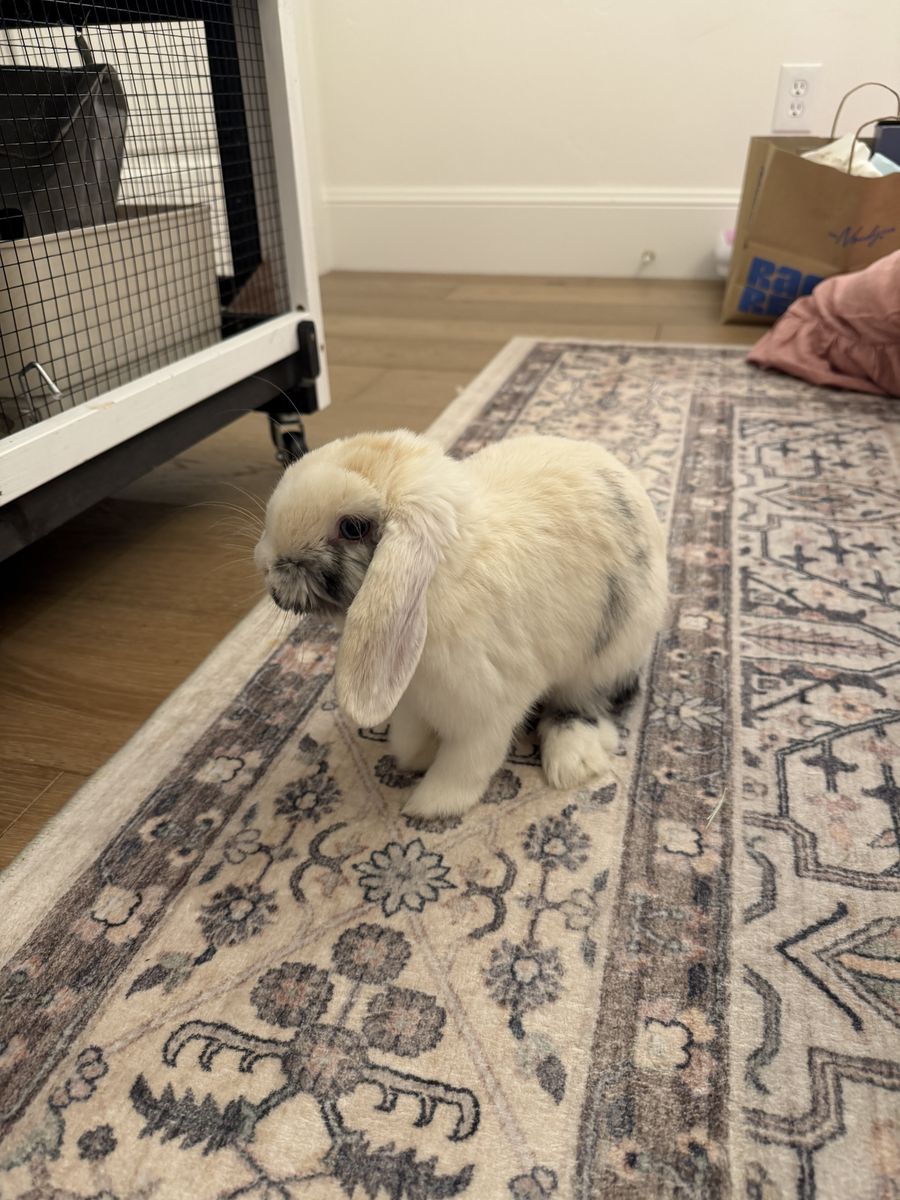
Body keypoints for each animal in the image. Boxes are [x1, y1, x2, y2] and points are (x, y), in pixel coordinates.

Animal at [255, 429, 668, 819]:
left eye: (352, 527)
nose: (266, 565)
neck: (435, 584)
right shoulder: (410, 698)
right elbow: (410, 737)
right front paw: (414, 758)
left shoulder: (485, 713)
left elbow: (466, 764)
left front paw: (429, 805)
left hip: (606, 656)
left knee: (585, 704)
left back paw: (573, 762)